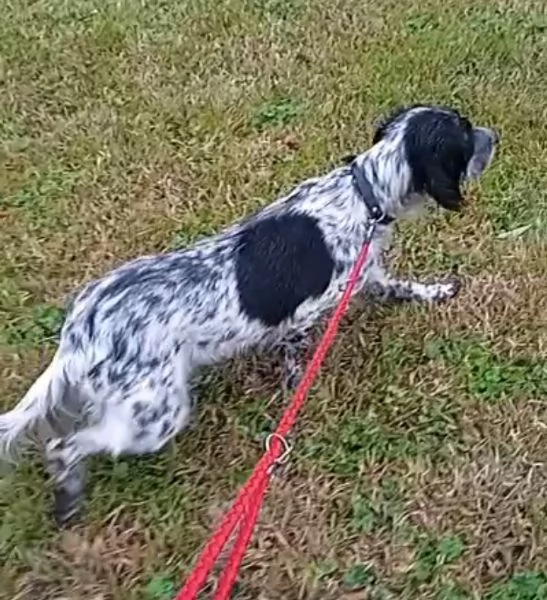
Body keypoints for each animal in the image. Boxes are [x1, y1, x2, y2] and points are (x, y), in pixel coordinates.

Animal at [0, 105, 498, 524]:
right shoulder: (304, 315)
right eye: (466, 131)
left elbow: (404, 287)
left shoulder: (369, 274)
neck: (363, 193)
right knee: (63, 445)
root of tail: (79, 331)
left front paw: (437, 291)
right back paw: (68, 500)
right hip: (157, 415)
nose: (495, 136)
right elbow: (296, 363)